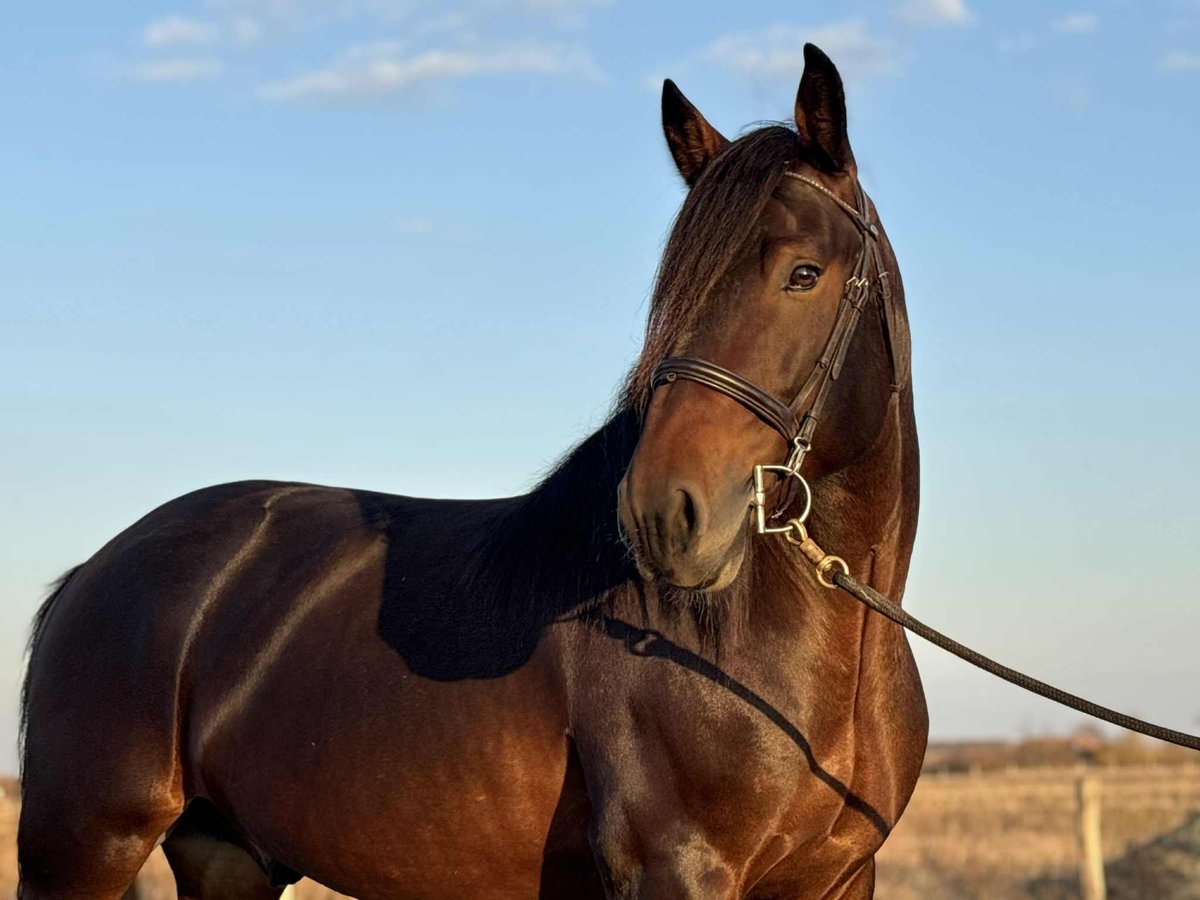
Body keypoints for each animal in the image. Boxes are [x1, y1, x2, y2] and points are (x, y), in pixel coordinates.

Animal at [18, 44, 926, 899]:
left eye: (804, 274)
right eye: (674, 289)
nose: (663, 513)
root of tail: (95, 570)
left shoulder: (843, 877)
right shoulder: (679, 869)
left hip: (224, 857)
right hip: (82, 850)